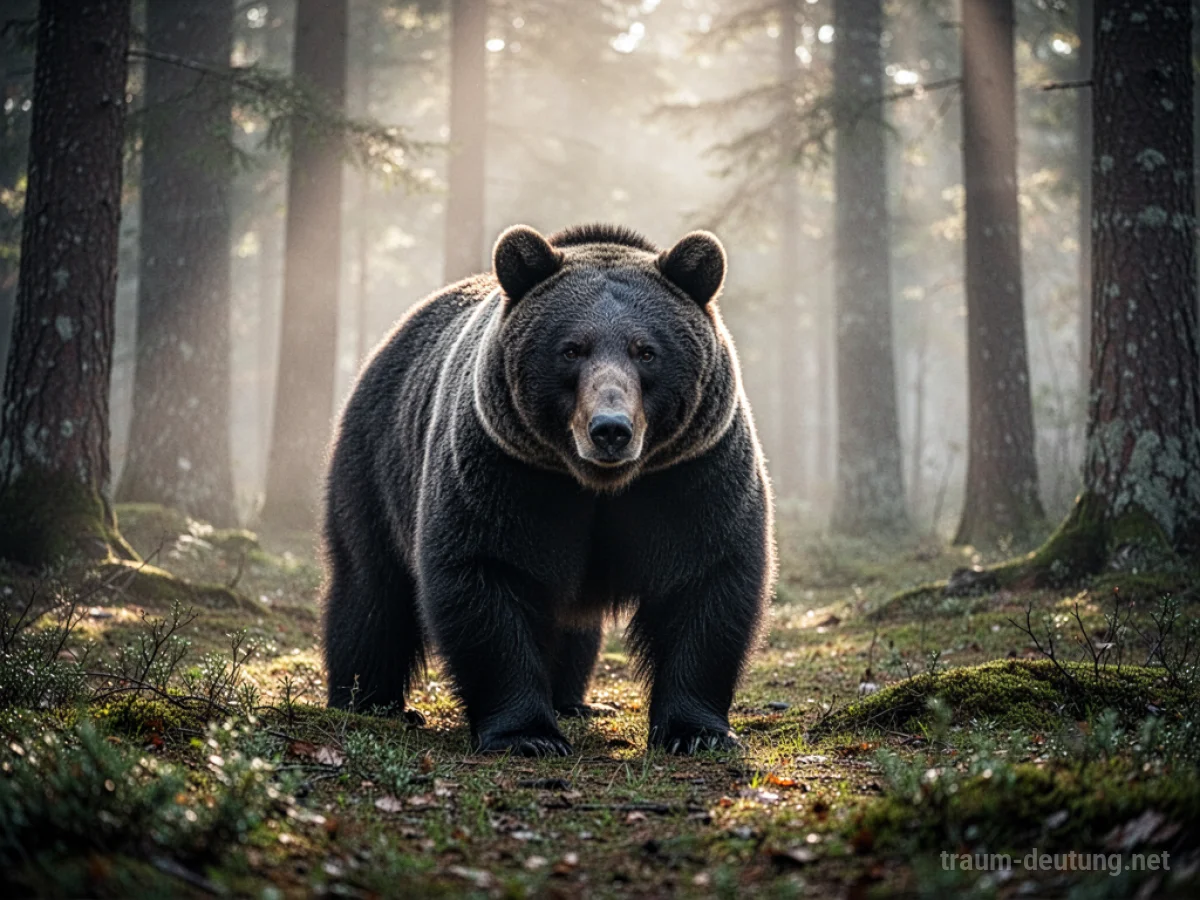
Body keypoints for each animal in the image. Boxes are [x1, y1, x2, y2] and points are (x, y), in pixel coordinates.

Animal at [322, 222, 775, 756]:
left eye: (646, 350)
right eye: (572, 348)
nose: (610, 429)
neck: (598, 485)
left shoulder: (692, 474)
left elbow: (707, 582)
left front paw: (697, 732)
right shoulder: (505, 473)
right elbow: (487, 579)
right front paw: (527, 734)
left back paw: (575, 701)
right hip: (375, 460)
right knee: (371, 588)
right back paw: (368, 699)